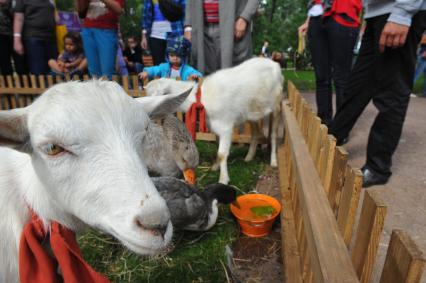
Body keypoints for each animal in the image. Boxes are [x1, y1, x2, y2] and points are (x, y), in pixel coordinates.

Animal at [146, 58, 282, 185]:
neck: (201, 99)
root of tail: (274, 63)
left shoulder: (226, 127)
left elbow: (222, 154)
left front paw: (223, 179)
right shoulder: (216, 127)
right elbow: (218, 149)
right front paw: (215, 167)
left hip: (276, 105)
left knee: (274, 135)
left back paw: (273, 161)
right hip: (251, 112)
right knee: (255, 131)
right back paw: (249, 157)